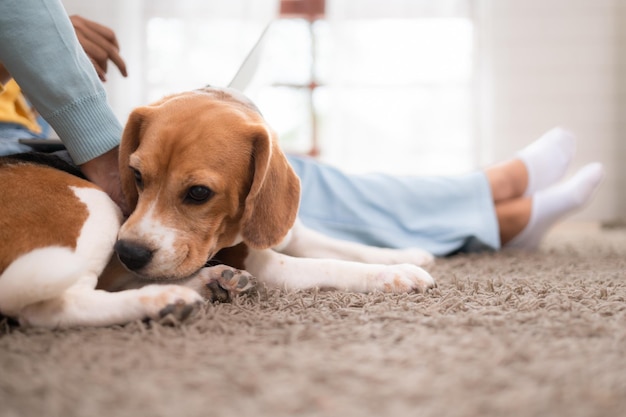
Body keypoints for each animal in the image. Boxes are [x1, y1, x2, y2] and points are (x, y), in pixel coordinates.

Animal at [0, 86, 434, 326]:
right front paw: (396, 275)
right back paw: (162, 299)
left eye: (198, 193)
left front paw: (406, 255)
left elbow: (347, 247)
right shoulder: (264, 262)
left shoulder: (293, 233)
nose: (129, 253)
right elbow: (332, 265)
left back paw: (207, 283)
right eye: (136, 175)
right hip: (94, 206)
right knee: (51, 307)